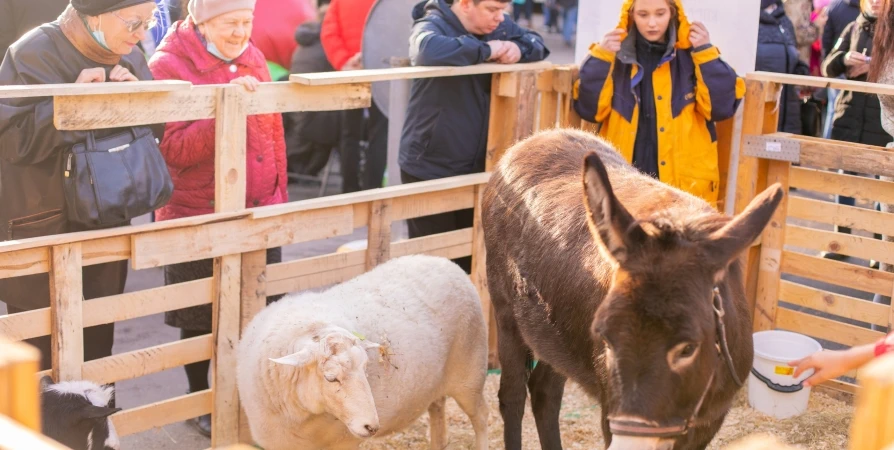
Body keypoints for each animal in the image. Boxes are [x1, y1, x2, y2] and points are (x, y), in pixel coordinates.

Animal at [238, 255, 490, 448]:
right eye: (330, 378)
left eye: (366, 368)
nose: (372, 426)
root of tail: (447, 263)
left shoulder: (344, 442)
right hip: (436, 381)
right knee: (438, 408)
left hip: (470, 373)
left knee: (480, 417)